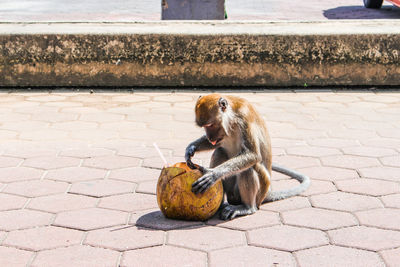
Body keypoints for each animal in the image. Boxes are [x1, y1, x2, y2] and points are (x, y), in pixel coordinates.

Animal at [186, 93, 310, 221]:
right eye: (204, 127)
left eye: (210, 125)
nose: (210, 137)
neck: (231, 117)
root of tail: (267, 193)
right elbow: (217, 145)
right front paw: (191, 148)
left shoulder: (244, 119)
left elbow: (253, 155)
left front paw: (213, 174)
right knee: (219, 152)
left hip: (260, 190)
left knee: (248, 168)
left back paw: (247, 207)